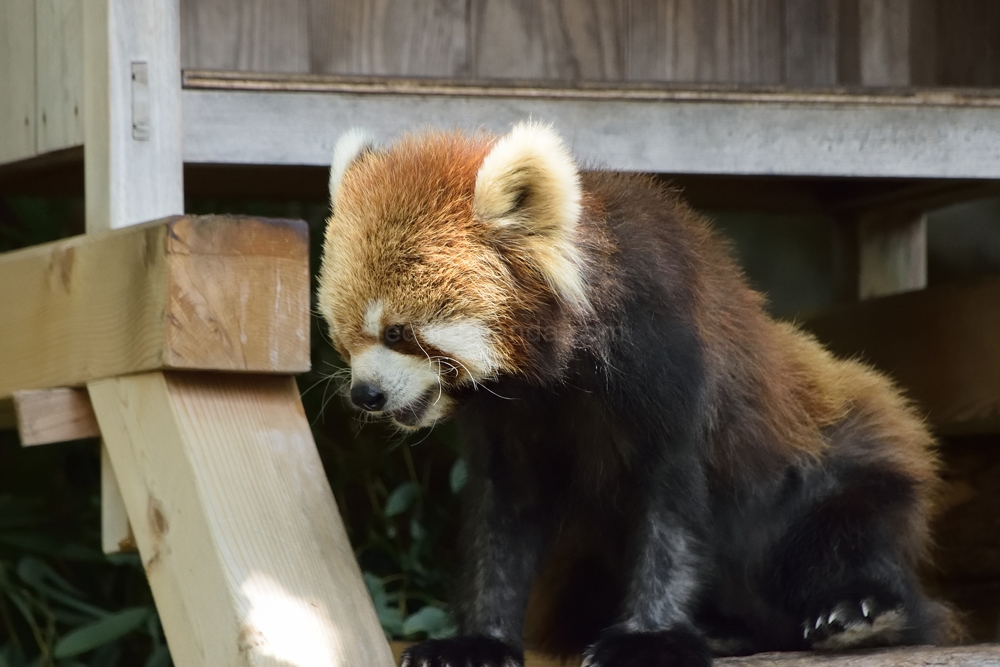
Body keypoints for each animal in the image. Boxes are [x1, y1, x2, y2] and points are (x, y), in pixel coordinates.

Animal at [316, 121, 948, 667]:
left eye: (397, 332)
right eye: (344, 336)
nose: (366, 395)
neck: (557, 373)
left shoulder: (668, 356)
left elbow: (671, 508)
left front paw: (651, 638)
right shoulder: (510, 421)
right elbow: (502, 519)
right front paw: (477, 640)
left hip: (844, 466)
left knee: (851, 527)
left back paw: (861, 614)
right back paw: (722, 630)